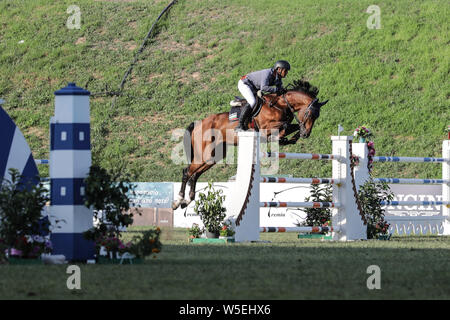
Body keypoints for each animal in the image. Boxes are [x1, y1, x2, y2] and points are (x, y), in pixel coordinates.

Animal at [171, 79, 326, 210]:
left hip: (213, 157)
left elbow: (291, 126)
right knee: (187, 172)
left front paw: (291, 138)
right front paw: (282, 138)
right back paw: (178, 201)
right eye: (310, 114)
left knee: (195, 175)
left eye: (317, 116)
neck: (280, 104)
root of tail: (198, 124)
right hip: (204, 155)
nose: (306, 134)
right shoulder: (264, 128)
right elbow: (285, 125)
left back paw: (188, 200)